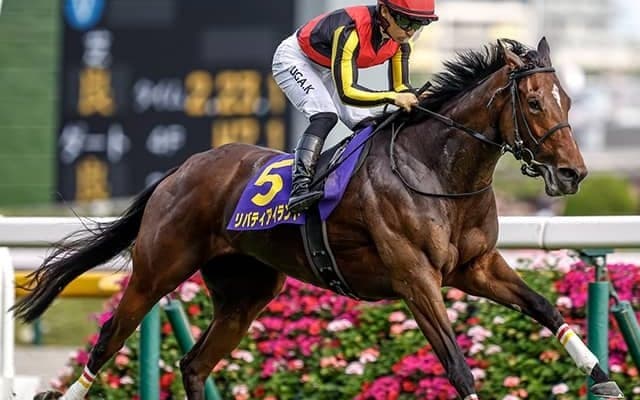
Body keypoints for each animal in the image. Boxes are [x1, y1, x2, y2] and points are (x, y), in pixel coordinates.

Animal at [15, 38, 624, 400]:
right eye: (537, 103)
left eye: (569, 100)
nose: (572, 174)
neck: (436, 170)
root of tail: (181, 168)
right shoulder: (416, 278)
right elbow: (456, 362)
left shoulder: (475, 267)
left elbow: (545, 307)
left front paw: (604, 379)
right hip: (157, 269)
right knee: (109, 340)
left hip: (247, 292)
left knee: (193, 363)